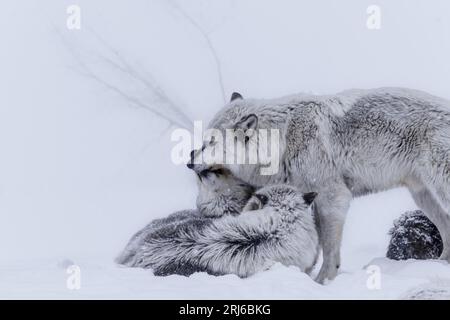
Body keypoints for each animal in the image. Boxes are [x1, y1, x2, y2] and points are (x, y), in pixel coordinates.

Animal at [188, 87, 450, 282]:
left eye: (210, 142)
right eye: (203, 140)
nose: (190, 159)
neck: (283, 139)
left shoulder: (333, 197)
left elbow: (329, 249)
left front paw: (322, 282)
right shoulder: (310, 197)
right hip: (423, 196)